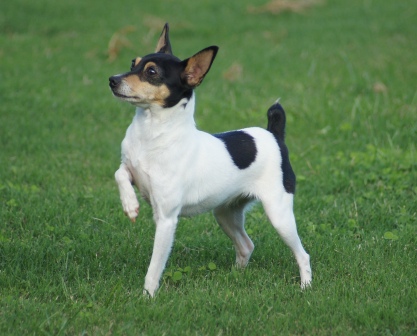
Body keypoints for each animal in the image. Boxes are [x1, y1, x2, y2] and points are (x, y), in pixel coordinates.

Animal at [109, 24, 310, 296]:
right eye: (133, 63)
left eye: (151, 72)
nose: (112, 79)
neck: (151, 132)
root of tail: (273, 135)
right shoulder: (130, 169)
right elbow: (120, 174)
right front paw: (130, 205)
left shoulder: (166, 219)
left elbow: (154, 266)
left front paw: (147, 296)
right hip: (225, 213)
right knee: (246, 245)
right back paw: (236, 276)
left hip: (279, 215)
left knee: (302, 254)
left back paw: (306, 285)